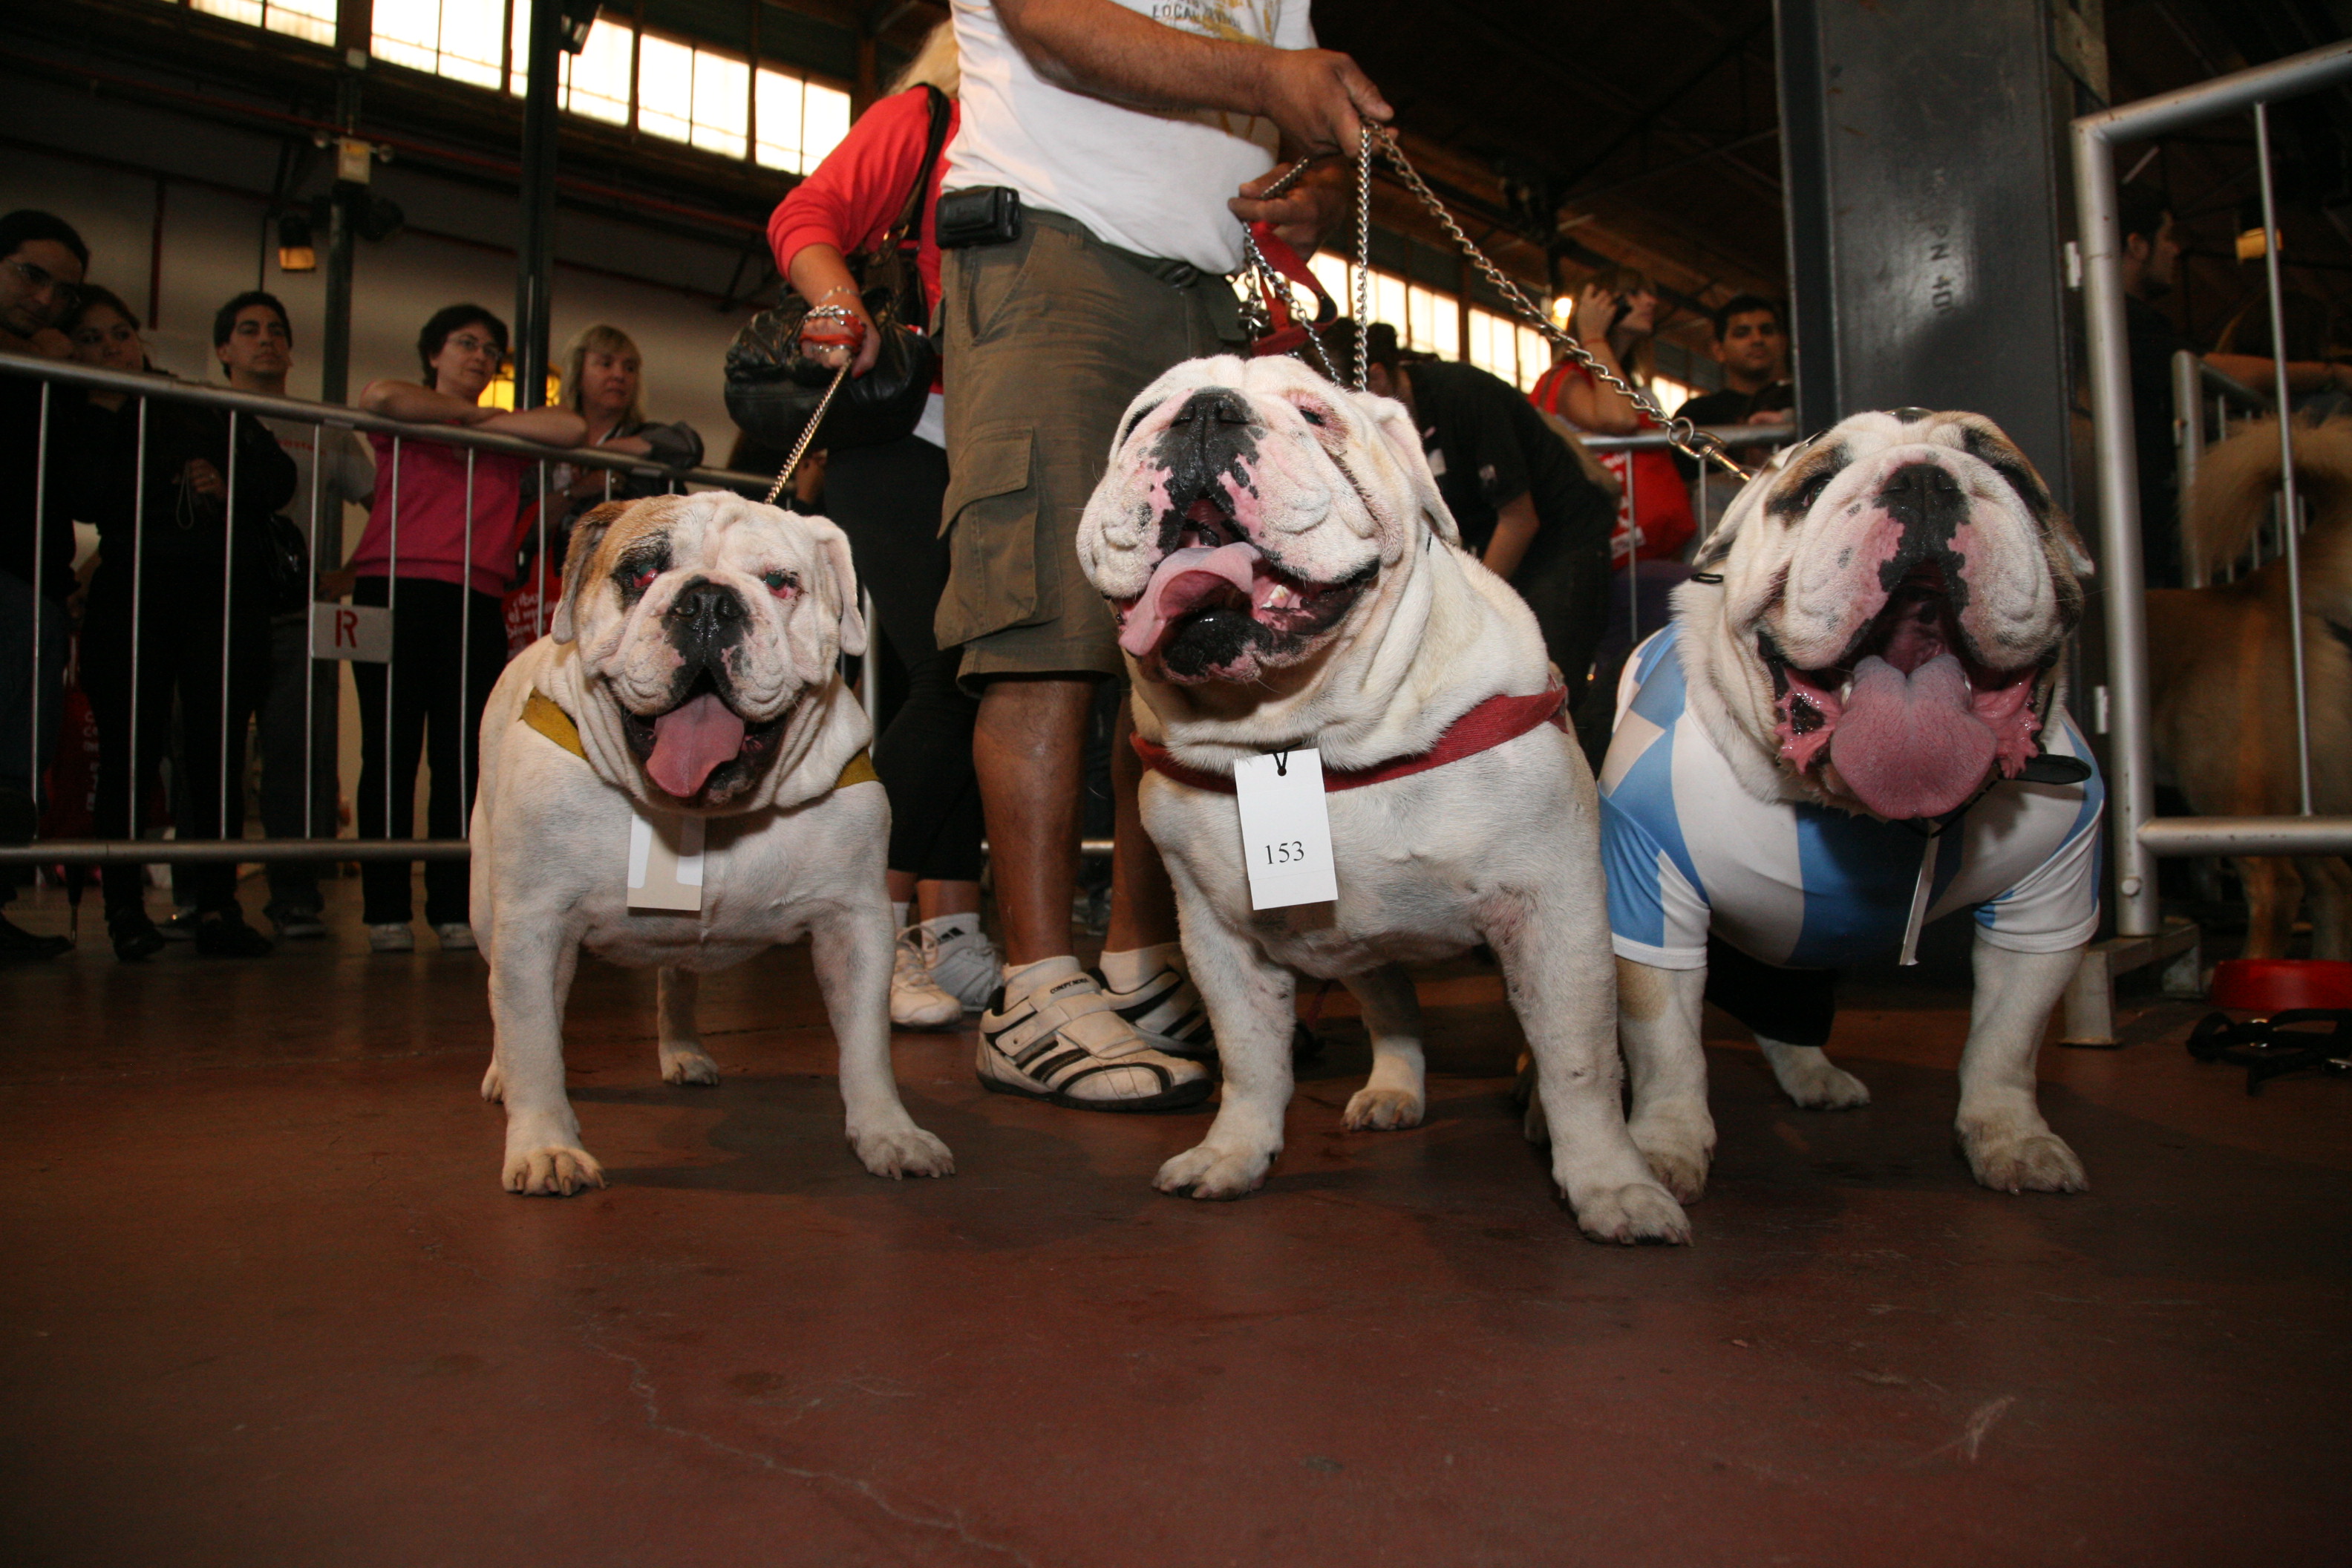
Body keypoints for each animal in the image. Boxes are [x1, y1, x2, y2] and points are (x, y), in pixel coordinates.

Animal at [468, 492, 953, 1195]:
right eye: (641, 574)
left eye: (780, 583)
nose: (706, 603)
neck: (705, 813)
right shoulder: (534, 922)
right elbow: (533, 1035)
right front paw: (546, 1146)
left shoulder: (856, 923)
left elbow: (866, 1045)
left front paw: (888, 1133)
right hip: (490, 914)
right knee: (510, 1002)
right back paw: (503, 1074)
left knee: (676, 979)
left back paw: (684, 1051)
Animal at [1076, 354, 1687, 1245]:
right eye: (1141, 419)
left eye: (1315, 416)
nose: (1205, 414)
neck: (1302, 733)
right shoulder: (1220, 935)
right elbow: (1248, 1057)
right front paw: (1235, 1153)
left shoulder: (1554, 909)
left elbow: (1578, 1058)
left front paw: (1611, 1184)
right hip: (1356, 946)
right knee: (1392, 1007)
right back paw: (1395, 1088)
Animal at [1575, 411, 2103, 1198]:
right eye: (1812, 487)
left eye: (2010, 473)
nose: (1923, 480)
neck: (1874, 815)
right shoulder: (1648, 896)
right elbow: (1668, 1049)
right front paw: (1664, 1146)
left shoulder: (2045, 910)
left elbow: (2007, 1041)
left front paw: (2010, 1135)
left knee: (1785, 1006)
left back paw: (1811, 1073)